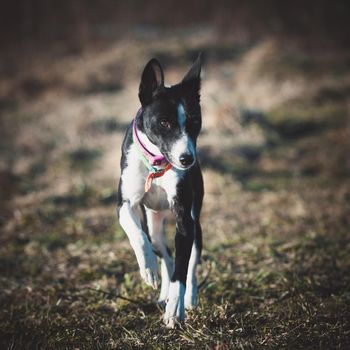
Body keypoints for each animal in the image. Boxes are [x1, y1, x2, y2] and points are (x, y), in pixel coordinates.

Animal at [116, 55, 204, 328]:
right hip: (153, 223)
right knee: (164, 253)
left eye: (195, 122)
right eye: (164, 123)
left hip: (195, 225)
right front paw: (148, 268)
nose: (187, 159)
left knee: (190, 265)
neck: (156, 164)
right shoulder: (125, 204)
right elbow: (136, 235)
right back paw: (161, 288)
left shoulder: (184, 217)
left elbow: (182, 272)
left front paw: (175, 309)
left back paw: (189, 300)